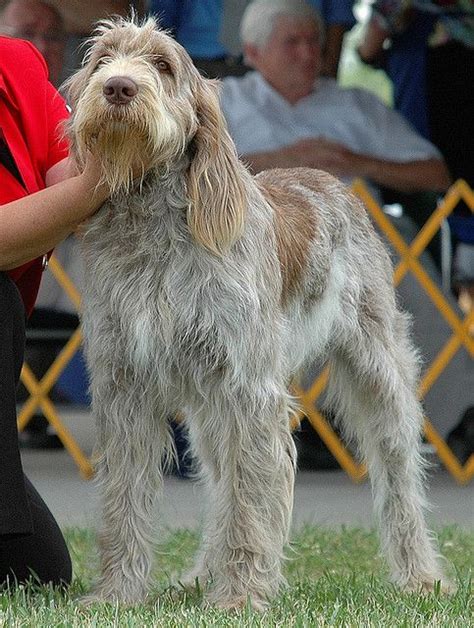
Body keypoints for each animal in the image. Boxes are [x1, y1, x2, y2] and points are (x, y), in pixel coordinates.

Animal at [65, 17, 450, 612]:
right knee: (221, 483)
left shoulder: (250, 390)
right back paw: (202, 573)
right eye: (103, 59)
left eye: (162, 66)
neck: (153, 226)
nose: (118, 88)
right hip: (209, 408)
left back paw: (419, 575)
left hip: (378, 372)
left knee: (398, 474)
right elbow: (124, 501)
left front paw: (241, 597)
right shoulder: (124, 386)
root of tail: (331, 179)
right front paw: (116, 593)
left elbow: (251, 502)